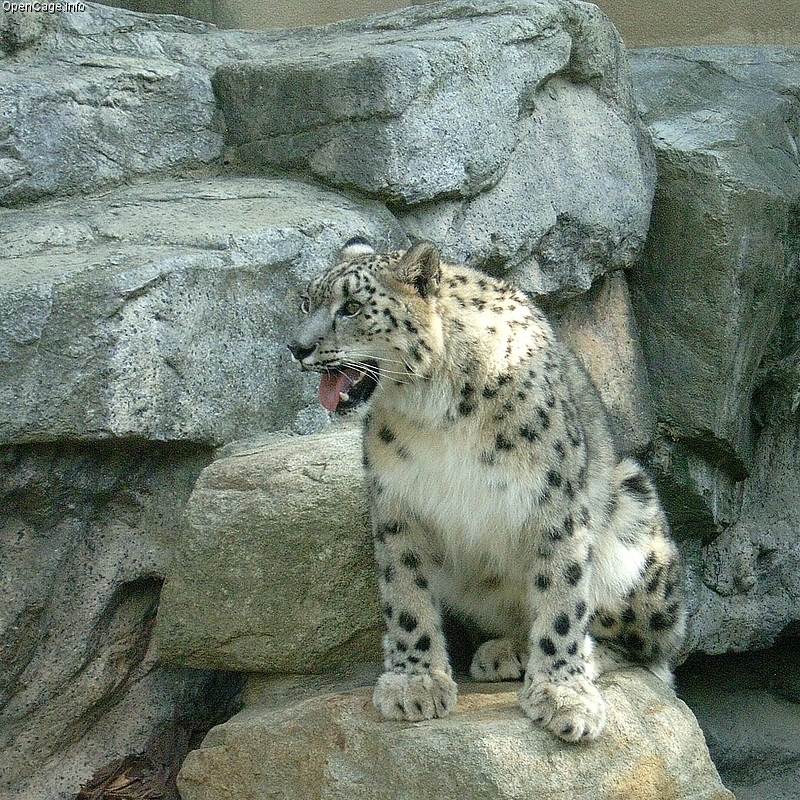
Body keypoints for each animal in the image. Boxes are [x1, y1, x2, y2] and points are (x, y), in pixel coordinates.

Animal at [288, 238, 686, 742]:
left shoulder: (554, 504)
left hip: (634, 515)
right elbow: (405, 595)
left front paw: (564, 696)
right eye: (307, 302)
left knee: (650, 648)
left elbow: (562, 598)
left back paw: (570, 657)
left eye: (352, 306)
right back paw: (504, 651)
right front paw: (414, 683)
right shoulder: (397, 504)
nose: (296, 347)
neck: (434, 412)